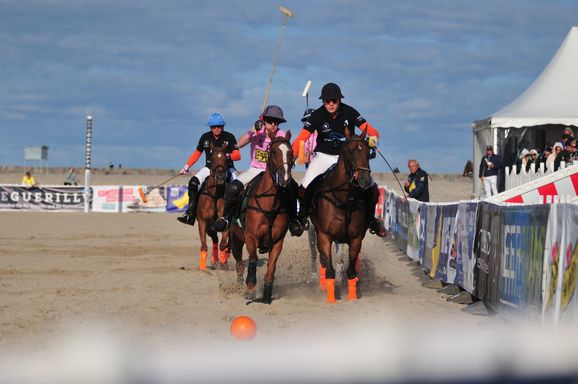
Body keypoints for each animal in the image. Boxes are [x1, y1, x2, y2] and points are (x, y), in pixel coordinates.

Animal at [228, 132, 292, 304]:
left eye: (291, 152)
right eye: (274, 152)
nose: (284, 178)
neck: (269, 203)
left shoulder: (277, 241)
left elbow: (272, 266)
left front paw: (267, 294)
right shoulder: (251, 237)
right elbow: (253, 259)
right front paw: (250, 290)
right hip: (235, 239)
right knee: (239, 263)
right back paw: (239, 284)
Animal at [308, 129, 372, 304]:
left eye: (368, 152)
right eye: (349, 151)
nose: (364, 180)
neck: (343, 199)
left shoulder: (355, 238)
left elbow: (350, 270)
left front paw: (352, 296)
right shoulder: (324, 236)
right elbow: (329, 269)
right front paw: (331, 298)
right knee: (321, 258)